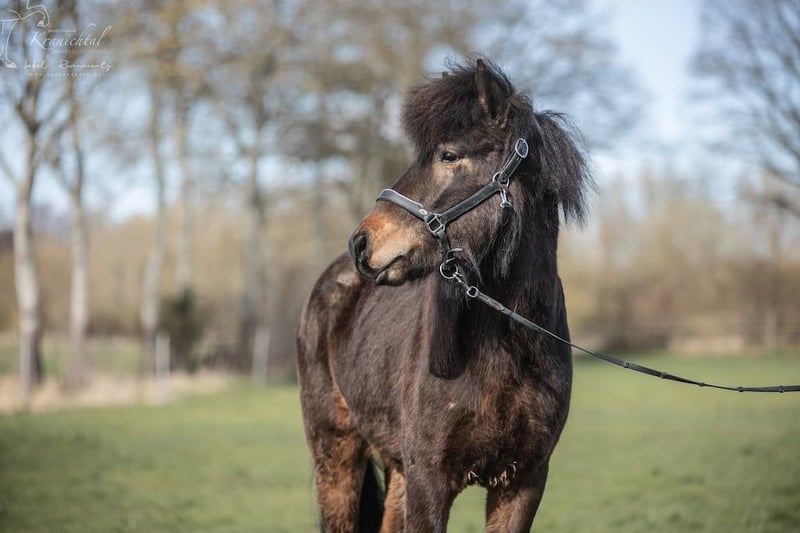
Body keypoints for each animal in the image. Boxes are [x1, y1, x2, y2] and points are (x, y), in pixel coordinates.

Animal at [297, 58, 590, 532]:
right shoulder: (429, 481)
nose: (362, 243)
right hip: (336, 454)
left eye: (449, 155)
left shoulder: (523, 482)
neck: (505, 350)